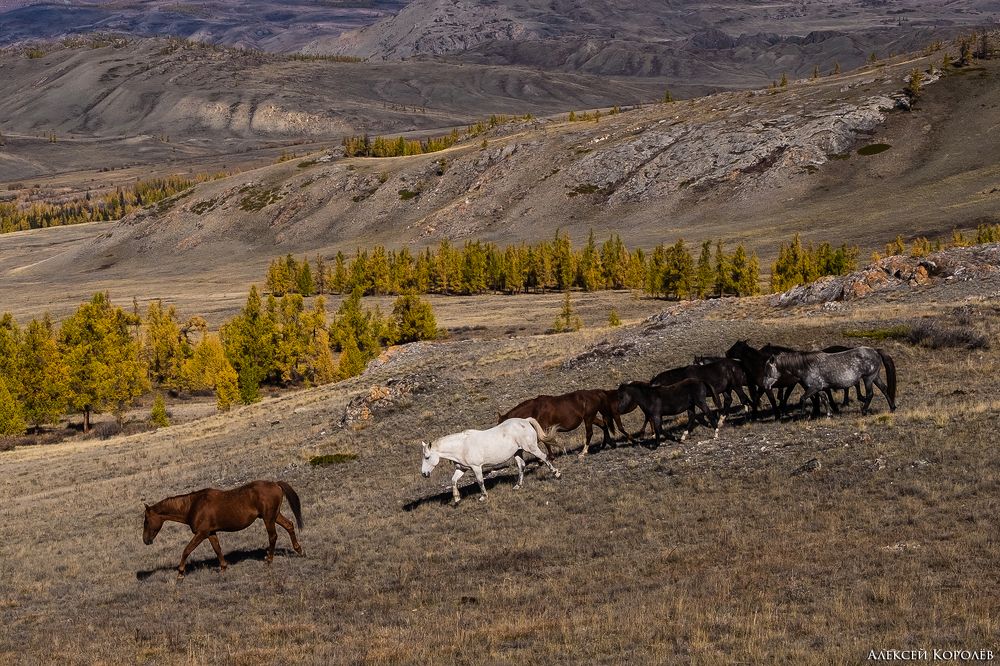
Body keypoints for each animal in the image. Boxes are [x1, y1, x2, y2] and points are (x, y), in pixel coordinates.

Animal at [143, 480, 304, 577]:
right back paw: (299, 550)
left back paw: (269, 560)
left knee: (273, 536)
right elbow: (217, 549)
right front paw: (223, 568)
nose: (145, 540)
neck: (193, 506)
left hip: (268, 518)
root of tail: (275, 484)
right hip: (274, 516)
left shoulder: (201, 533)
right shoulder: (211, 533)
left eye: (146, 521)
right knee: (289, 525)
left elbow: (186, 550)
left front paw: (180, 573)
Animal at [422, 417, 561, 504]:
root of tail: (525, 421)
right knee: (521, 465)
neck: (462, 446)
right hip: (517, 452)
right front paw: (457, 499)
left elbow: (480, 481)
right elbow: (453, 480)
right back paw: (518, 486)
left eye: (427, 457)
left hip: (531, 448)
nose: (424, 474)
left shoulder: (476, 467)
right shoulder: (461, 469)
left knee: (544, 457)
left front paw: (483, 497)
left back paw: (557, 474)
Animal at [763, 347, 897, 416]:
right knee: (884, 389)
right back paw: (892, 408)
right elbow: (824, 398)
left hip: (868, 378)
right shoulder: (819, 388)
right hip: (875, 377)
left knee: (870, 394)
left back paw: (864, 411)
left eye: (768, 370)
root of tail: (875, 351)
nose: (765, 385)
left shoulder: (815, 387)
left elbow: (803, 398)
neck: (806, 366)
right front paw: (829, 414)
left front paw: (804, 414)